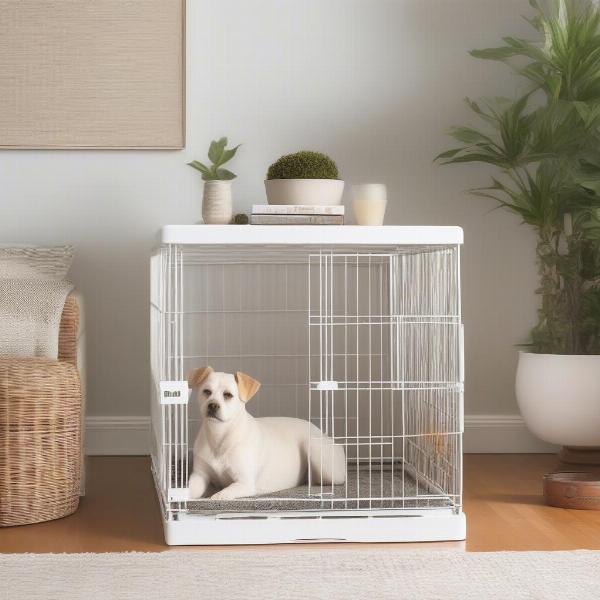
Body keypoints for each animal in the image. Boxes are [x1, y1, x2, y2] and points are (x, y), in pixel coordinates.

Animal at [188, 366, 346, 502]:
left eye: (228, 395)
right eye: (206, 391)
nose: (212, 405)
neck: (219, 435)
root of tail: (321, 431)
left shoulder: (245, 483)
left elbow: (224, 492)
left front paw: (216, 495)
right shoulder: (199, 476)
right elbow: (190, 489)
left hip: (317, 453)